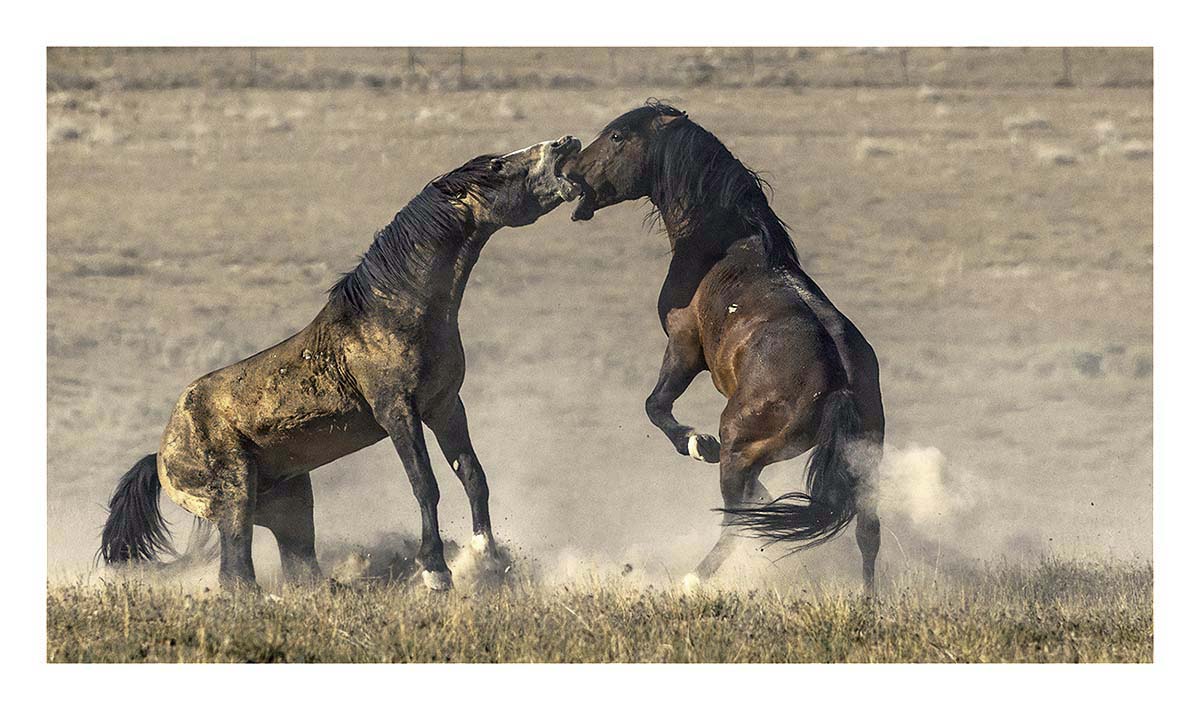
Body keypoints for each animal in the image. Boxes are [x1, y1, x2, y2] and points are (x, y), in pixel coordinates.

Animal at [99, 136, 583, 591]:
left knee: (299, 570)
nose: (565, 143)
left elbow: (473, 477)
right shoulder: (397, 413)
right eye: (498, 166)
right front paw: (436, 572)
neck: (397, 313)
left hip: (290, 505)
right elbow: (425, 486)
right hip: (235, 498)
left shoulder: (445, 407)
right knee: (236, 576)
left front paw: (487, 559)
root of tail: (161, 455)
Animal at [562, 103, 884, 593]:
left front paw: (697, 443)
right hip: (865, 463)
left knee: (737, 521)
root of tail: (840, 385)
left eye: (617, 136)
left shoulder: (683, 347)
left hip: (741, 446)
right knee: (867, 532)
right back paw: (867, 598)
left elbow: (655, 405)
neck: (724, 246)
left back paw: (690, 581)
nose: (568, 169)